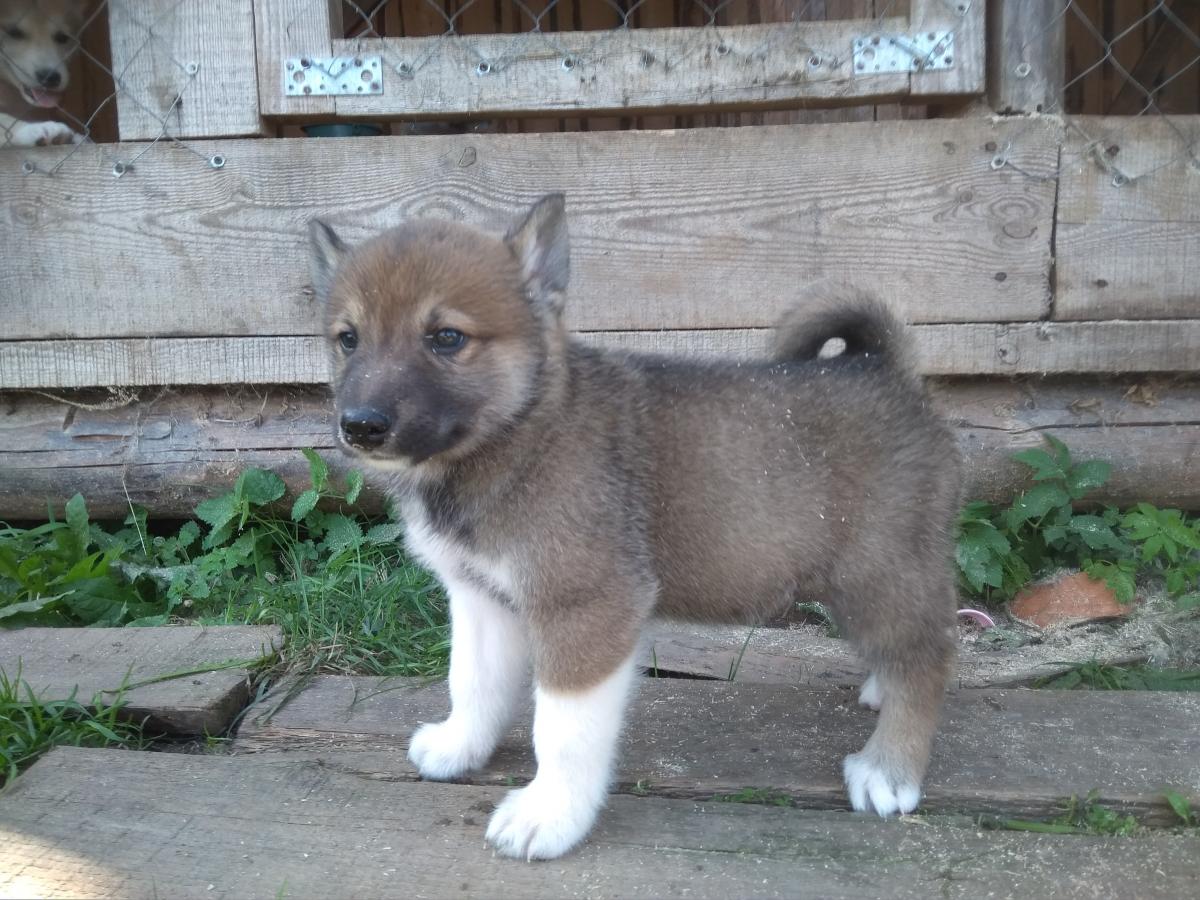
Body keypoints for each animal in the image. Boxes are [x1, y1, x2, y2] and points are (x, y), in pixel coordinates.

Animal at [308, 194, 961, 860]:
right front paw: (460, 746)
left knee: (928, 658)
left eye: (446, 338)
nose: (360, 425)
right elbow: (472, 682)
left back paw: (889, 769)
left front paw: (550, 813)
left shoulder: (587, 607)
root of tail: (886, 370)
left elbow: (562, 729)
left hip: (877, 575)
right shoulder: (479, 599)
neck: (519, 433)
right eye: (349, 339)